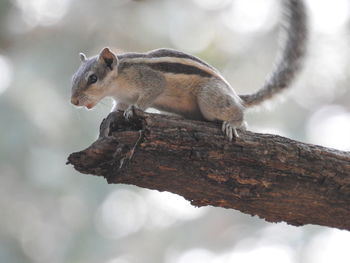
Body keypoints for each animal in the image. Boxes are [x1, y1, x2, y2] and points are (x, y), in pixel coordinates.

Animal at [70, 0, 306, 141]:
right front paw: (116, 112)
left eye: (93, 78)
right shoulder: (121, 97)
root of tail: (234, 94)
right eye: (73, 78)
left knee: (241, 117)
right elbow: (117, 106)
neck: (118, 80)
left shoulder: (151, 80)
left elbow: (149, 94)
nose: (73, 101)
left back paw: (233, 124)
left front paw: (134, 109)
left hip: (210, 99)